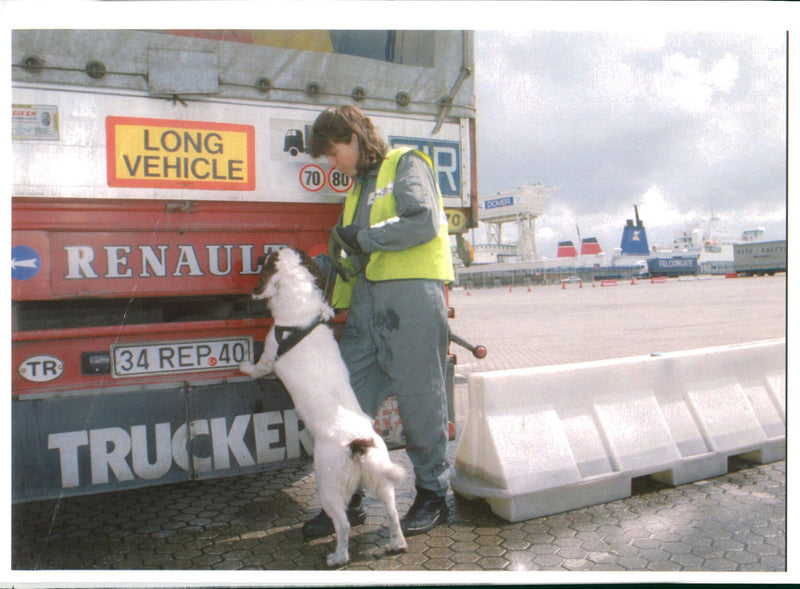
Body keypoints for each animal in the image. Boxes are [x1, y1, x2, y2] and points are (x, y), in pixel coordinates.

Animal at [238, 247, 406, 564]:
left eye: (269, 258)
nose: (261, 252)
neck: (300, 311)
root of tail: (358, 443)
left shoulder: (269, 355)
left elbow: (258, 367)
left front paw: (244, 367)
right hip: (381, 479)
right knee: (392, 512)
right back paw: (397, 544)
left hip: (327, 486)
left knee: (344, 524)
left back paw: (338, 557)